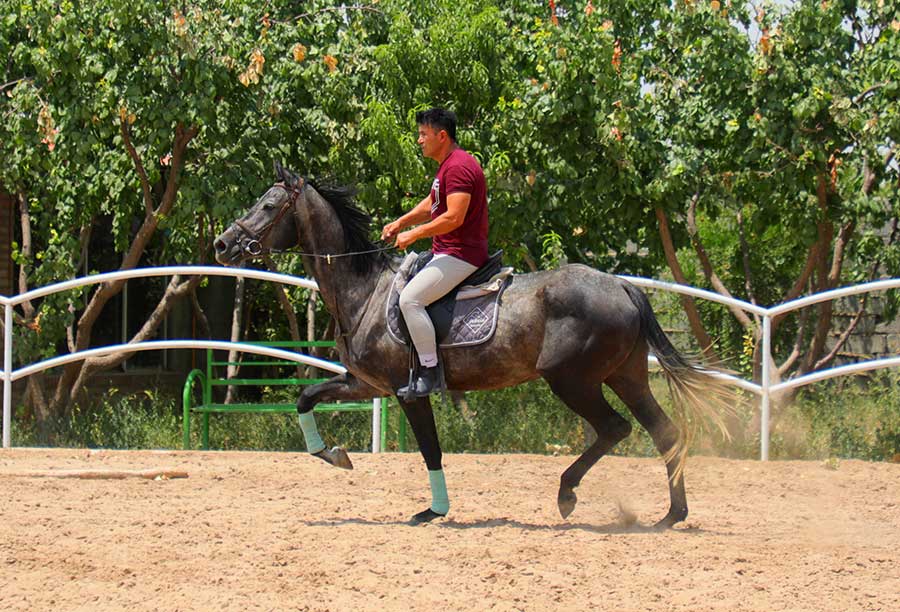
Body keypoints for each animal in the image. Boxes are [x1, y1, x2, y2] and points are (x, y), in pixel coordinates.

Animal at [214, 165, 736, 528]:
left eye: (268, 205)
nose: (222, 244)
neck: (364, 292)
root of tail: (622, 285)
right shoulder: (365, 384)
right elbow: (306, 399)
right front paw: (334, 455)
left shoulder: (408, 392)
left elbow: (431, 450)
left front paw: (434, 510)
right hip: (625, 375)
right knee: (664, 432)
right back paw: (671, 516)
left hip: (573, 380)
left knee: (614, 428)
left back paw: (567, 494)